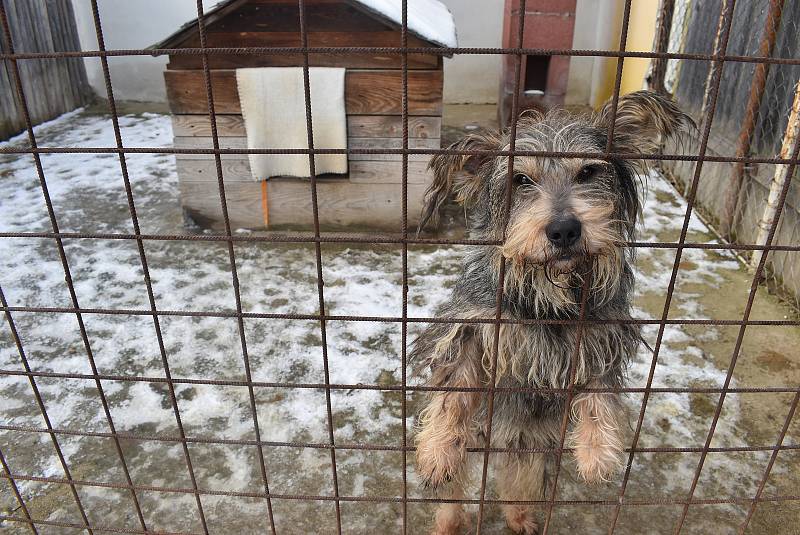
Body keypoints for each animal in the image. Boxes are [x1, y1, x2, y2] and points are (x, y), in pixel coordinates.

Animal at [410, 90, 692, 532]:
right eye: (521, 180)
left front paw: (598, 453)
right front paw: (438, 450)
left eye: (589, 172)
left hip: (531, 444)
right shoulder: (470, 327)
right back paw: (449, 521)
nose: (563, 230)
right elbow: (453, 392)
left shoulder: (601, 338)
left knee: (517, 481)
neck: (549, 298)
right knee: (456, 492)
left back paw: (520, 515)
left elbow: (598, 394)